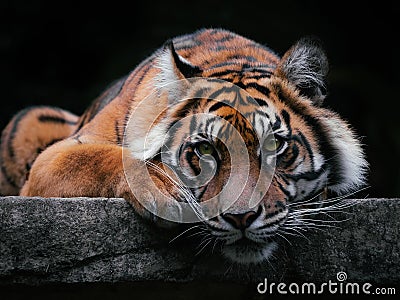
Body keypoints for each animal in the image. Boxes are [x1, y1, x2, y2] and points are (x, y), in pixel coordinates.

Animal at [0, 28, 368, 262]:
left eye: (275, 145)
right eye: (205, 150)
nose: (242, 218)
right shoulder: (56, 155)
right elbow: (107, 157)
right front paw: (166, 191)